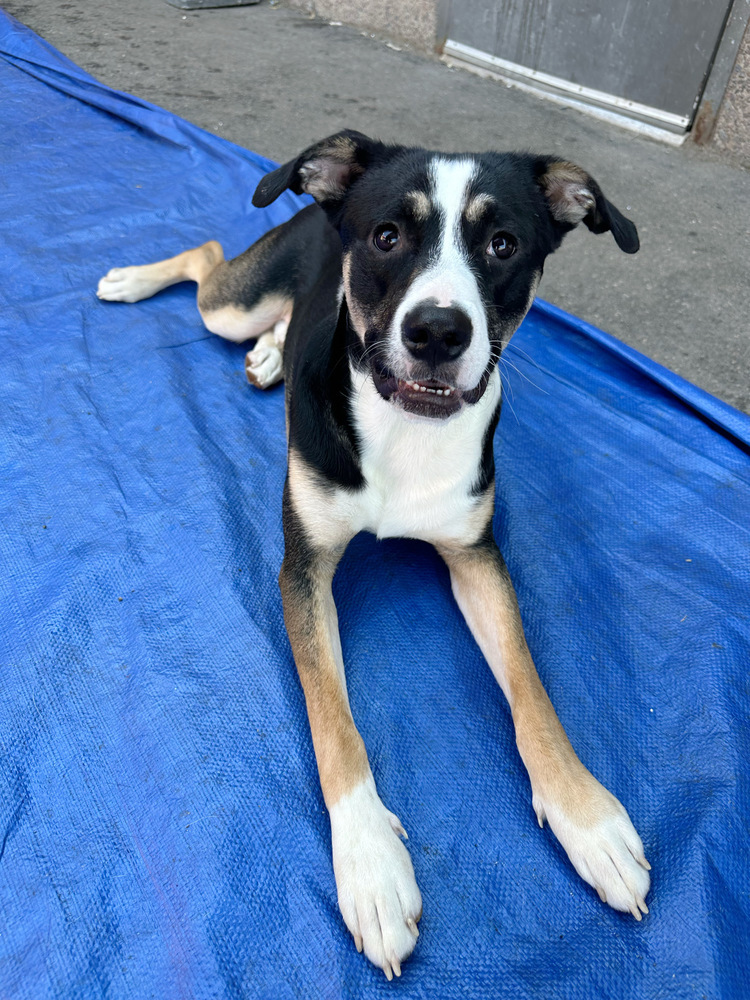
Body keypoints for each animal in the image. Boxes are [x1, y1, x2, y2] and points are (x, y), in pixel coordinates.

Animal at [98, 131, 652, 976]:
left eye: (503, 244)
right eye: (388, 236)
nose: (438, 332)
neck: (406, 425)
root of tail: (310, 206)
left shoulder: (477, 556)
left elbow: (531, 691)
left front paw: (588, 820)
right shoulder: (303, 572)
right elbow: (334, 721)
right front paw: (370, 867)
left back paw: (269, 354)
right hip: (232, 304)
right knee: (207, 258)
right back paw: (134, 281)